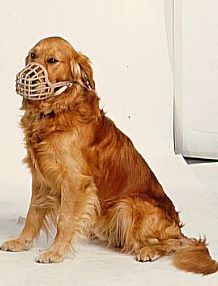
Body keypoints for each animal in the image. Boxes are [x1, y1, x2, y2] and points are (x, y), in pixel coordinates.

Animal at [0, 36, 217, 274]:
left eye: (52, 60)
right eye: (33, 55)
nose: (24, 75)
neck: (57, 111)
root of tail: (177, 228)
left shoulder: (75, 182)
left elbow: (64, 220)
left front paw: (55, 252)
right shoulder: (40, 177)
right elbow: (33, 214)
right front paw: (21, 242)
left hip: (126, 206)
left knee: (172, 242)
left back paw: (150, 251)